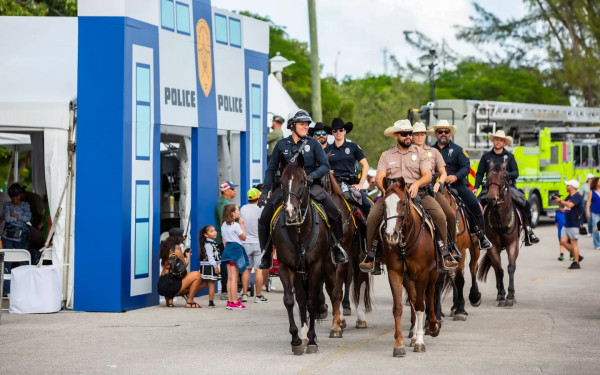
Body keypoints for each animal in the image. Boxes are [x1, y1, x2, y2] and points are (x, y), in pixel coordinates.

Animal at [274, 156, 336, 356]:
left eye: (302, 181)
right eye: (281, 182)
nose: (290, 211)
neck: (300, 231)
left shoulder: (316, 266)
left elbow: (311, 301)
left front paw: (312, 340)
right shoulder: (286, 267)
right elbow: (290, 300)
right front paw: (296, 338)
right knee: (300, 298)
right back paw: (302, 333)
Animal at [322, 173, 372, 334]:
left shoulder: (343, 260)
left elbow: (338, 290)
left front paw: (336, 327)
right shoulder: (326, 262)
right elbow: (332, 291)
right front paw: (339, 321)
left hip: (360, 257)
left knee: (361, 283)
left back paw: (361, 319)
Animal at [382, 179, 438, 358]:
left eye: (403, 203)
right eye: (384, 204)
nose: (391, 235)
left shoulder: (422, 274)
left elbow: (421, 305)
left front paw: (420, 342)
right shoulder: (395, 273)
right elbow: (398, 308)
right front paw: (398, 345)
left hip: (433, 273)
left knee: (429, 295)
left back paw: (433, 326)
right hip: (408, 278)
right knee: (413, 298)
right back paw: (413, 336)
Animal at [478, 160, 520, 306]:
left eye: (502, 177)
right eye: (488, 178)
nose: (491, 198)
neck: (501, 220)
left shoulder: (512, 244)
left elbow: (511, 268)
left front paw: (511, 296)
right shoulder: (493, 246)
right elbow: (499, 270)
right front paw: (502, 295)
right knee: (496, 268)